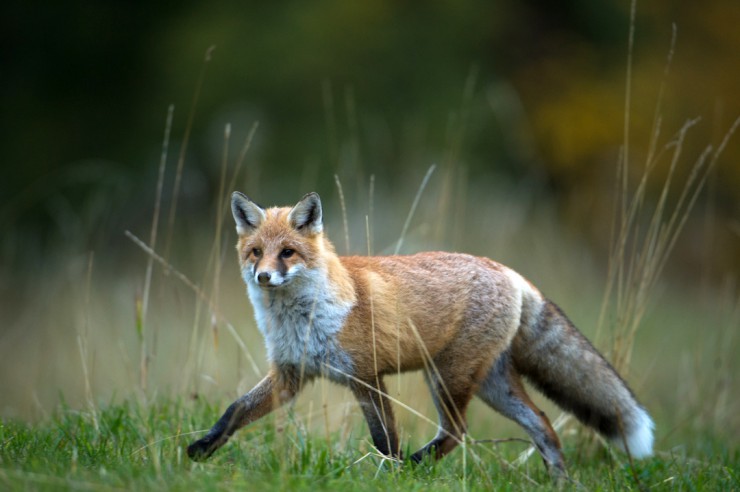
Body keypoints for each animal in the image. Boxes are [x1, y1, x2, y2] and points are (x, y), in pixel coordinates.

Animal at [188, 191, 656, 476]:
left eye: (287, 253)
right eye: (255, 253)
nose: (264, 277)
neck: (302, 319)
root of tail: (508, 271)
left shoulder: (367, 377)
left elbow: (384, 439)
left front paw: (391, 474)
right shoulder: (290, 374)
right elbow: (234, 411)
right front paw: (203, 449)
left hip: (447, 377)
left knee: (457, 432)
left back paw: (416, 464)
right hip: (491, 384)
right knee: (541, 423)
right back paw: (560, 480)